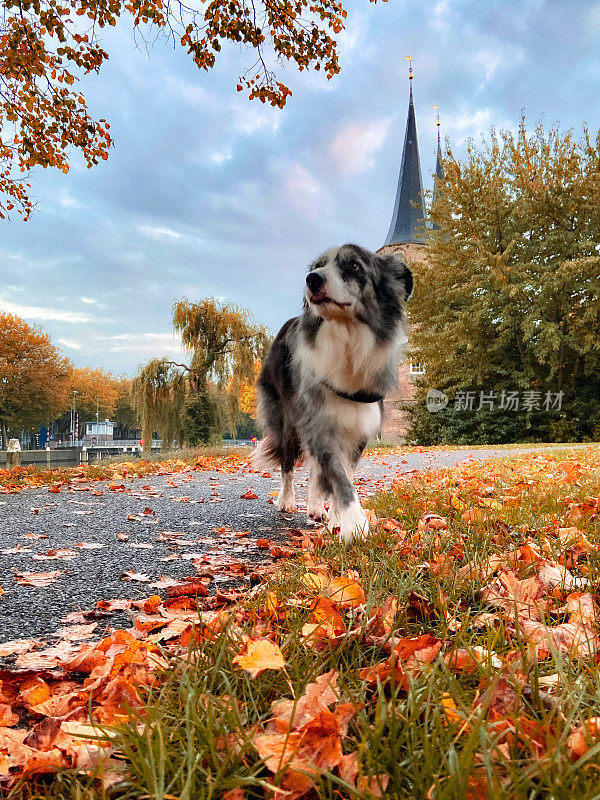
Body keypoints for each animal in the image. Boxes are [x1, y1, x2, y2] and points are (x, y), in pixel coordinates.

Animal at [253, 244, 412, 540]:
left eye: (354, 266)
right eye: (318, 266)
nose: (312, 279)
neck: (347, 337)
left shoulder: (359, 428)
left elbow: (343, 473)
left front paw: (338, 517)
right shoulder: (319, 422)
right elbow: (338, 476)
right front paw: (355, 524)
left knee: (316, 469)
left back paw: (316, 506)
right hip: (287, 420)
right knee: (288, 462)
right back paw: (287, 500)